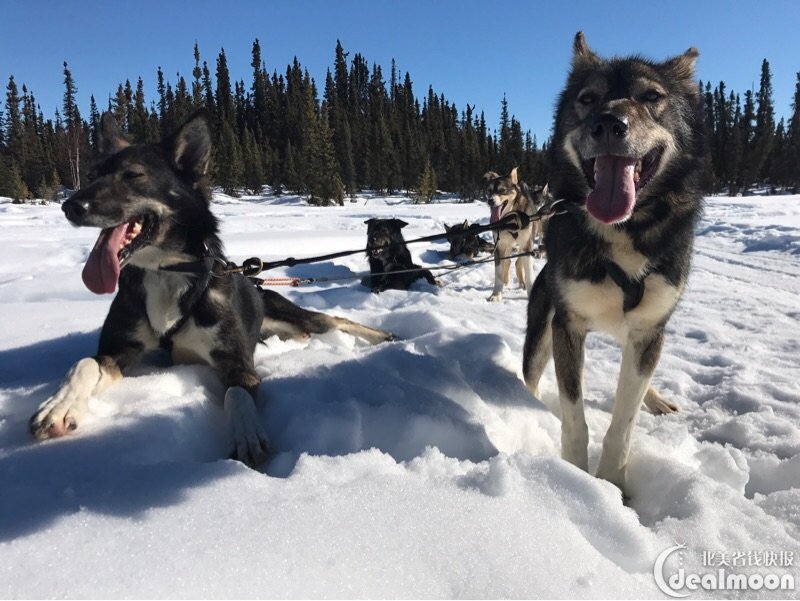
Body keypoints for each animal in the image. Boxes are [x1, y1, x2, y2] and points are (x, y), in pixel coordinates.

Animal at [30, 113, 394, 468]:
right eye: (91, 175)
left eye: (133, 174)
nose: (71, 206)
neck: (168, 271)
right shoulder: (119, 351)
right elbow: (83, 364)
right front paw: (58, 407)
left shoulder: (238, 363)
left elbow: (237, 393)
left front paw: (247, 436)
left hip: (300, 316)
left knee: (335, 320)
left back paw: (386, 336)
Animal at [520, 30, 704, 494]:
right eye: (587, 99)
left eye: (652, 96)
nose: (607, 124)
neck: (623, 230)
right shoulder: (567, 326)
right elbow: (575, 419)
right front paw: (576, 477)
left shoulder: (649, 329)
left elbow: (625, 420)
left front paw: (614, 483)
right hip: (542, 330)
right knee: (531, 375)